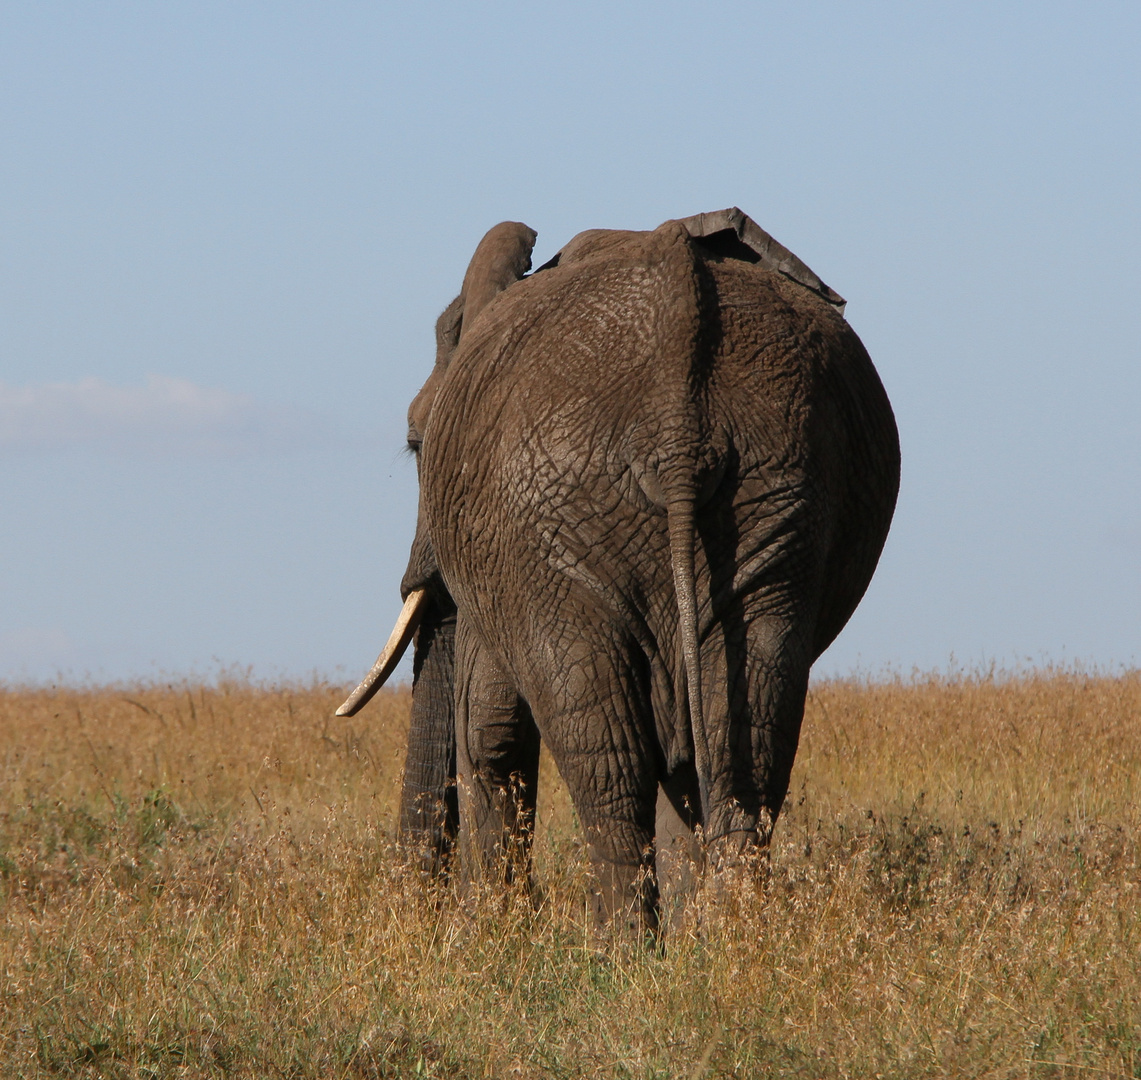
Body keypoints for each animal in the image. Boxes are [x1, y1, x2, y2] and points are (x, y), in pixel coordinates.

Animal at [337, 206, 899, 935]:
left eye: (414, 446)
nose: (421, 920)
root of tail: (677, 423)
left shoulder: (502, 551)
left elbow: (487, 724)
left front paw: (495, 939)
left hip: (558, 513)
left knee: (606, 746)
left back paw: (621, 949)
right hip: (781, 487)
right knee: (741, 728)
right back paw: (732, 941)